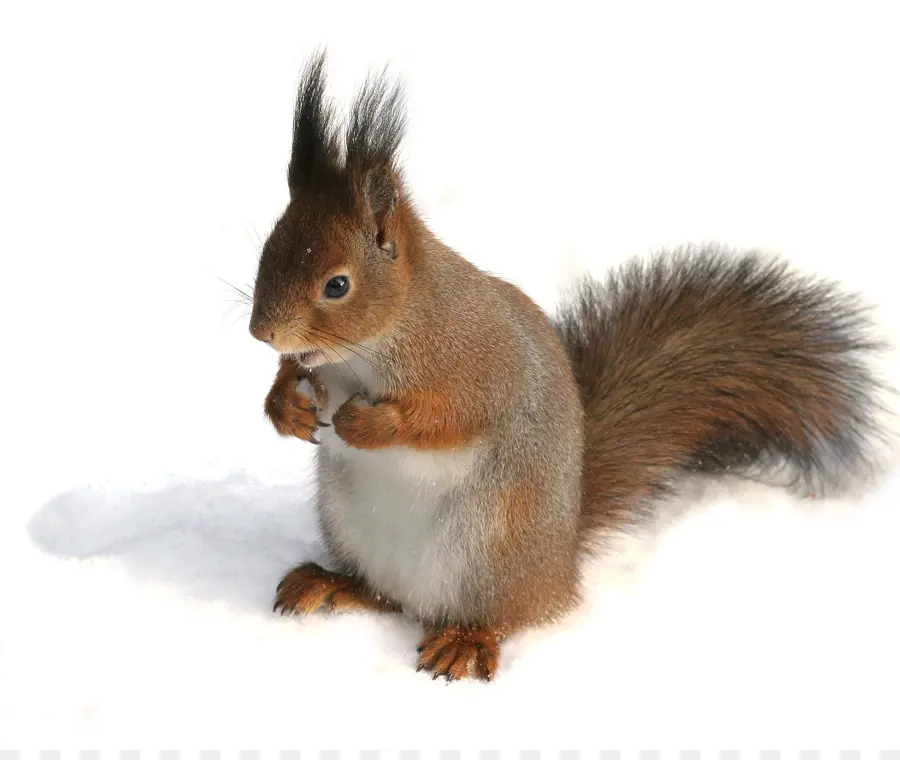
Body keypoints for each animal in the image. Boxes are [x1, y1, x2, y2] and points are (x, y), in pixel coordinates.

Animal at [248, 53, 892, 684]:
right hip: (353, 527)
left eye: (337, 285)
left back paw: (465, 643)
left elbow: (449, 419)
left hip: (492, 548)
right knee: (384, 597)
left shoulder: (476, 363)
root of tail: (560, 568)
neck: (373, 344)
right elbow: (290, 381)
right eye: (267, 249)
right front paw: (286, 405)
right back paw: (331, 583)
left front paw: (363, 423)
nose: (262, 332)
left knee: (504, 616)